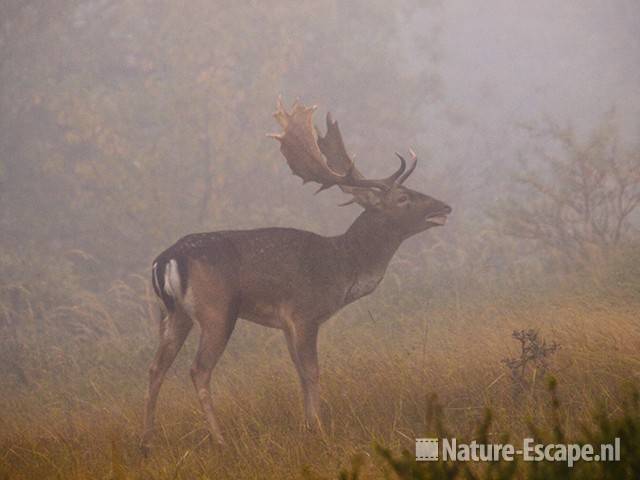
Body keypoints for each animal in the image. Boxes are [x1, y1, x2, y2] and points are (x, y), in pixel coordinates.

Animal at [140, 97, 450, 450]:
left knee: (155, 368)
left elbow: (299, 372)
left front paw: (307, 424)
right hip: (216, 311)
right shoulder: (305, 313)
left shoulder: (286, 323)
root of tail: (167, 258)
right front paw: (320, 429)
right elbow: (313, 371)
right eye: (403, 197)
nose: (445, 207)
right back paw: (220, 440)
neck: (342, 268)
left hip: (173, 314)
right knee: (198, 370)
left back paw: (146, 442)